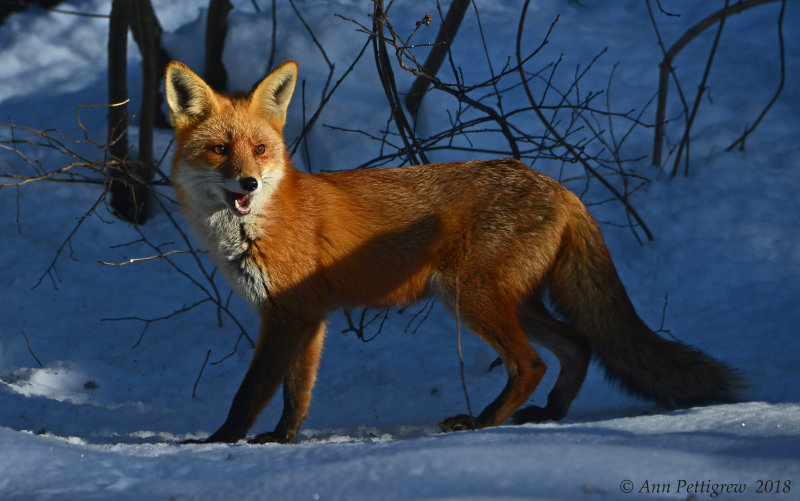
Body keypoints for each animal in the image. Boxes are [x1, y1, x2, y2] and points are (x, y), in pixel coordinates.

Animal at [166, 61, 740, 442]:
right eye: (220, 149)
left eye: (260, 150)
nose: (247, 182)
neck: (256, 225)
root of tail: (555, 183)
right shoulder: (307, 317)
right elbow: (296, 393)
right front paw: (283, 440)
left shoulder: (289, 315)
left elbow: (251, 391)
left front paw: (222, 441)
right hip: (507, 301)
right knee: (577, 344)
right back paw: (549, 414)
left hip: (471, 294)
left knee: (531, 363)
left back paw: (483, 422)